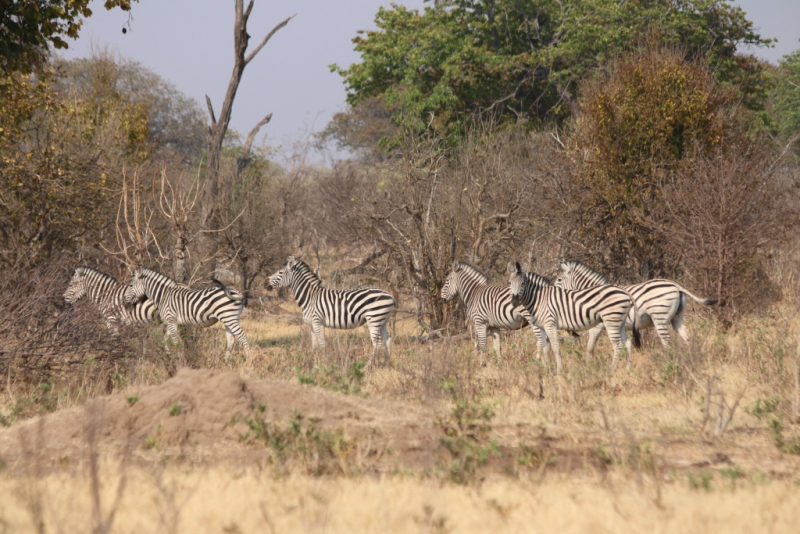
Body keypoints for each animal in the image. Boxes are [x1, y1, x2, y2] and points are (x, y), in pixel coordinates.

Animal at [268, 258, 396, 366]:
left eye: (280, 273)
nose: (266, 283)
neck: (310, 297)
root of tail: (390, 295)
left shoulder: (318, 322)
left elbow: (322, 344)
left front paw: (324, 363)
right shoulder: (312, 325)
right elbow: (315, 346)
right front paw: (314, 363)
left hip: (374, 319)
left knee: (377, 343)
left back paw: (367, 366)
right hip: (382, 320)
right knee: (387, 339)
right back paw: (386, 363)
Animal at [506, 262, 644, 372]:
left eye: (522, 283)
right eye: (509, 283)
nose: (514, 302)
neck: (538, 299)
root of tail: (625, 292)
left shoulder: (550, 324)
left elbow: (556, 348)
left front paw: (559, 370)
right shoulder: (542, 327)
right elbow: (546, 348)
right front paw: (547, 369)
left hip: (611, 320)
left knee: (618, 345)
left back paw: (611, 370)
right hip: (619, 322)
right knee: (627, 343)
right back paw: (627, 369)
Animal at [552, 260, 716, 354]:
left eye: (559, 280)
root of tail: (676, 285)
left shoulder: (598, 324)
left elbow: (590, 346)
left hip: (660, 316)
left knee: (666, 341)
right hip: (677, 317)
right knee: (687, 337)